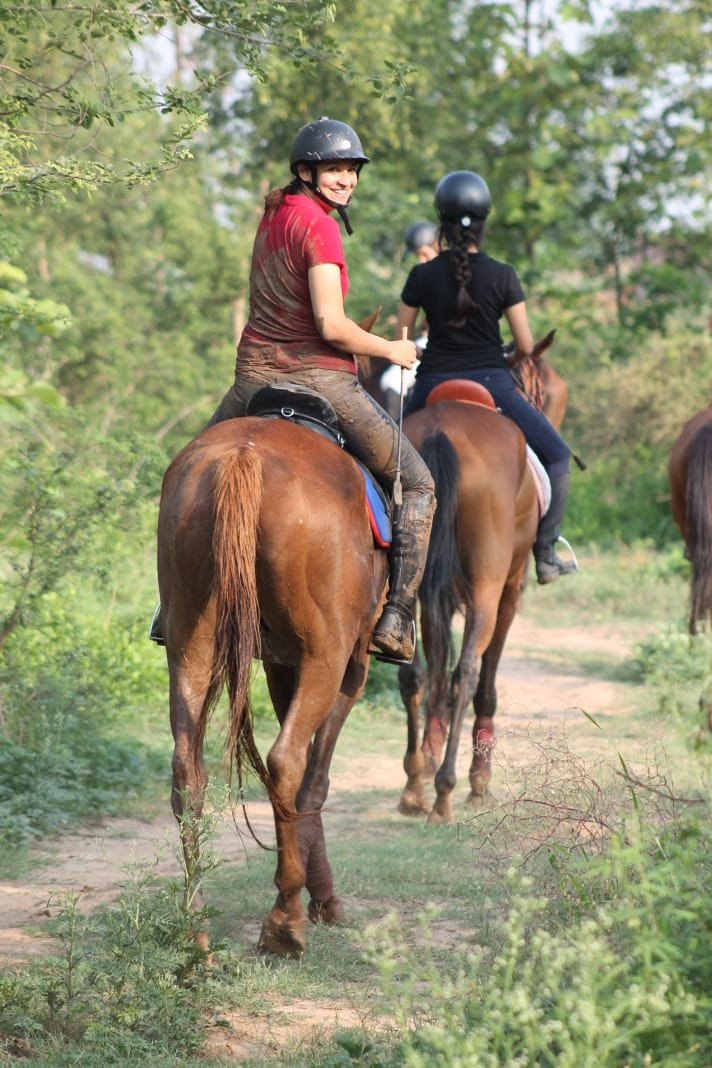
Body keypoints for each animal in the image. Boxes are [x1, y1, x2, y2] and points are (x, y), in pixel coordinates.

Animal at [157, 411, 389, 958]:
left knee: (187, 770)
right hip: (327, 655)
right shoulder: (348, 666)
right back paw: (285, 922)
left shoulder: (283, 664)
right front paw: (323, 898)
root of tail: (244, 456)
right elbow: (315, 778)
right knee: (286, 761)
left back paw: (196, 928)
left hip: (190, 639)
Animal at [396, 386, 540, 824]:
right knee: (467, 673)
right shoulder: (509, 592)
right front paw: (479, 780)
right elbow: (485, 682)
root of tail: (442, 431)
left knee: (413, 673)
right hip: (489, 584)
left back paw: (414, 787)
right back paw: (447, 792)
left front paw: (426, 758)